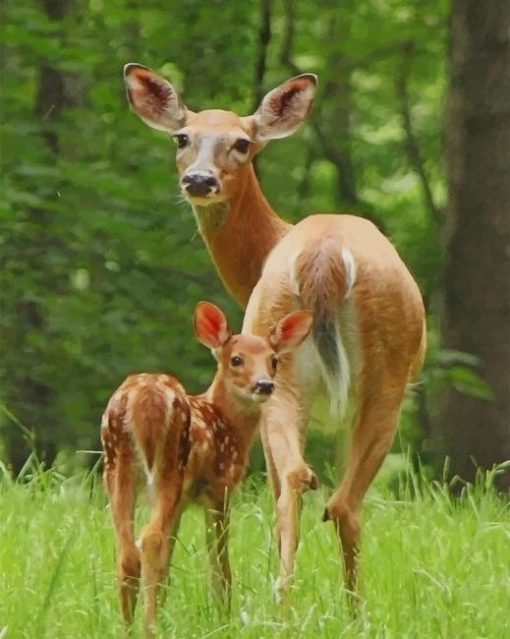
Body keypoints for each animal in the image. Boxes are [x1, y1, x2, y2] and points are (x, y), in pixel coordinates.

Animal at [101, 302, 312, 636]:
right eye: (236, 359)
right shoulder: (219, 488)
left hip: (116, 466)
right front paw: (224, 619)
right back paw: (150, 627)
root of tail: (141, 399)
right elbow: (219, 566)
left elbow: (167, 564)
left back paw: (127, 628)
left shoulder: (184, 501)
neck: (226, 422)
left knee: (127, 551)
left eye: (274, 360)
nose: (264, 385)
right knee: (149, 539)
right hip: (169, 466)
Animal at [123, 62, 426, 596]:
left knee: (304, 485)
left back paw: (291, 599)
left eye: (242, 143)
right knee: (333, 497)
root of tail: (325, 256)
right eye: (183, 136)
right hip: (374, 379)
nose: (199, 179)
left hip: (292, 369)